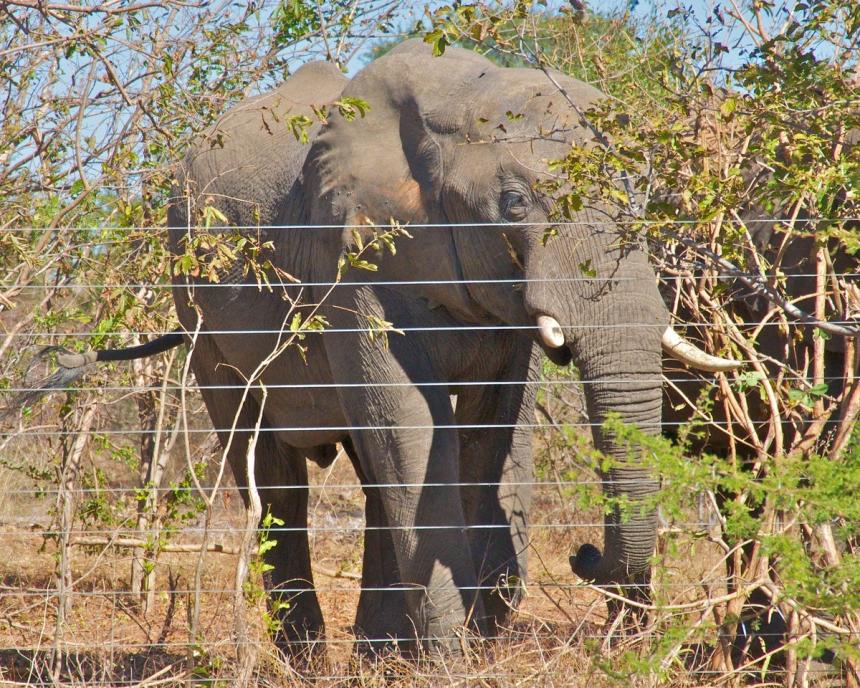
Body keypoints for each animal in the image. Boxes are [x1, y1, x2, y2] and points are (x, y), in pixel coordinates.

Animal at [31, 39, 740, 656]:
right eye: (514, 203)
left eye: (643, 196)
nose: (584, 554)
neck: (461, 94)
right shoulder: (351, 253)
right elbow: (410, 423)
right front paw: (452, 660)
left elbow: (484, 427)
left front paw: (457, 648)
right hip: (195, 298)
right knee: (273, 472)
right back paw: (306, 660)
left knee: (371, 468)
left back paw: (375, 653)